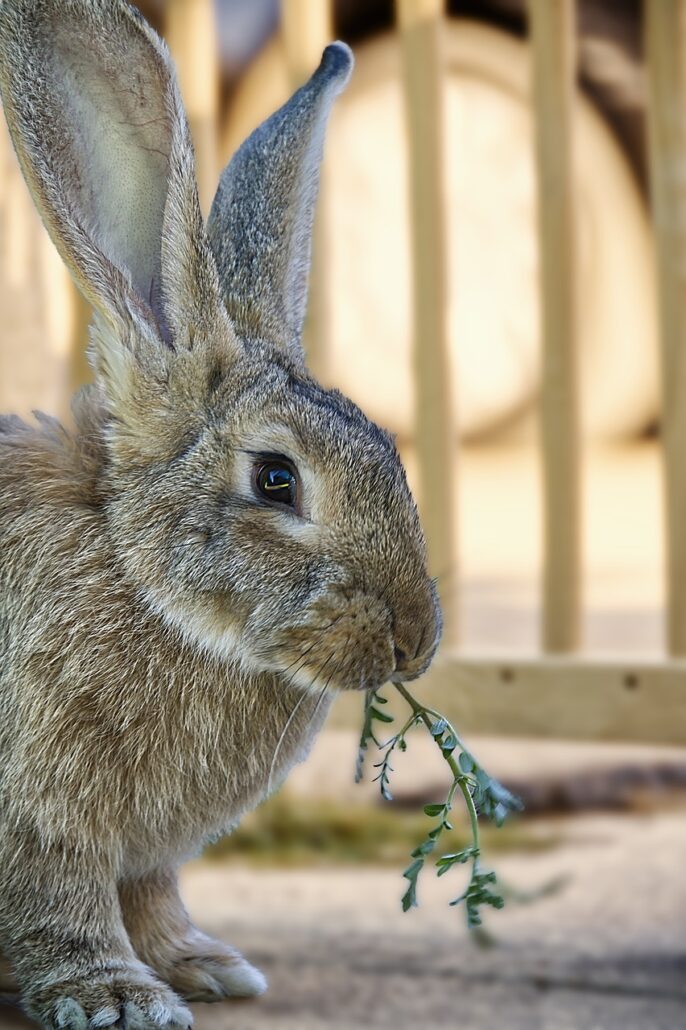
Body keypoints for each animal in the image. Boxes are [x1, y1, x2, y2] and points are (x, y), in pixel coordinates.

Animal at [0, 0, 441, 1027]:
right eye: (276, 479)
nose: (417, 640)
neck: (144, 584)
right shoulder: (43, 815)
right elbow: (62, 907)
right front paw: (118, 995)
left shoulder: (145, 855)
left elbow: (153, 895)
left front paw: (201, 965)